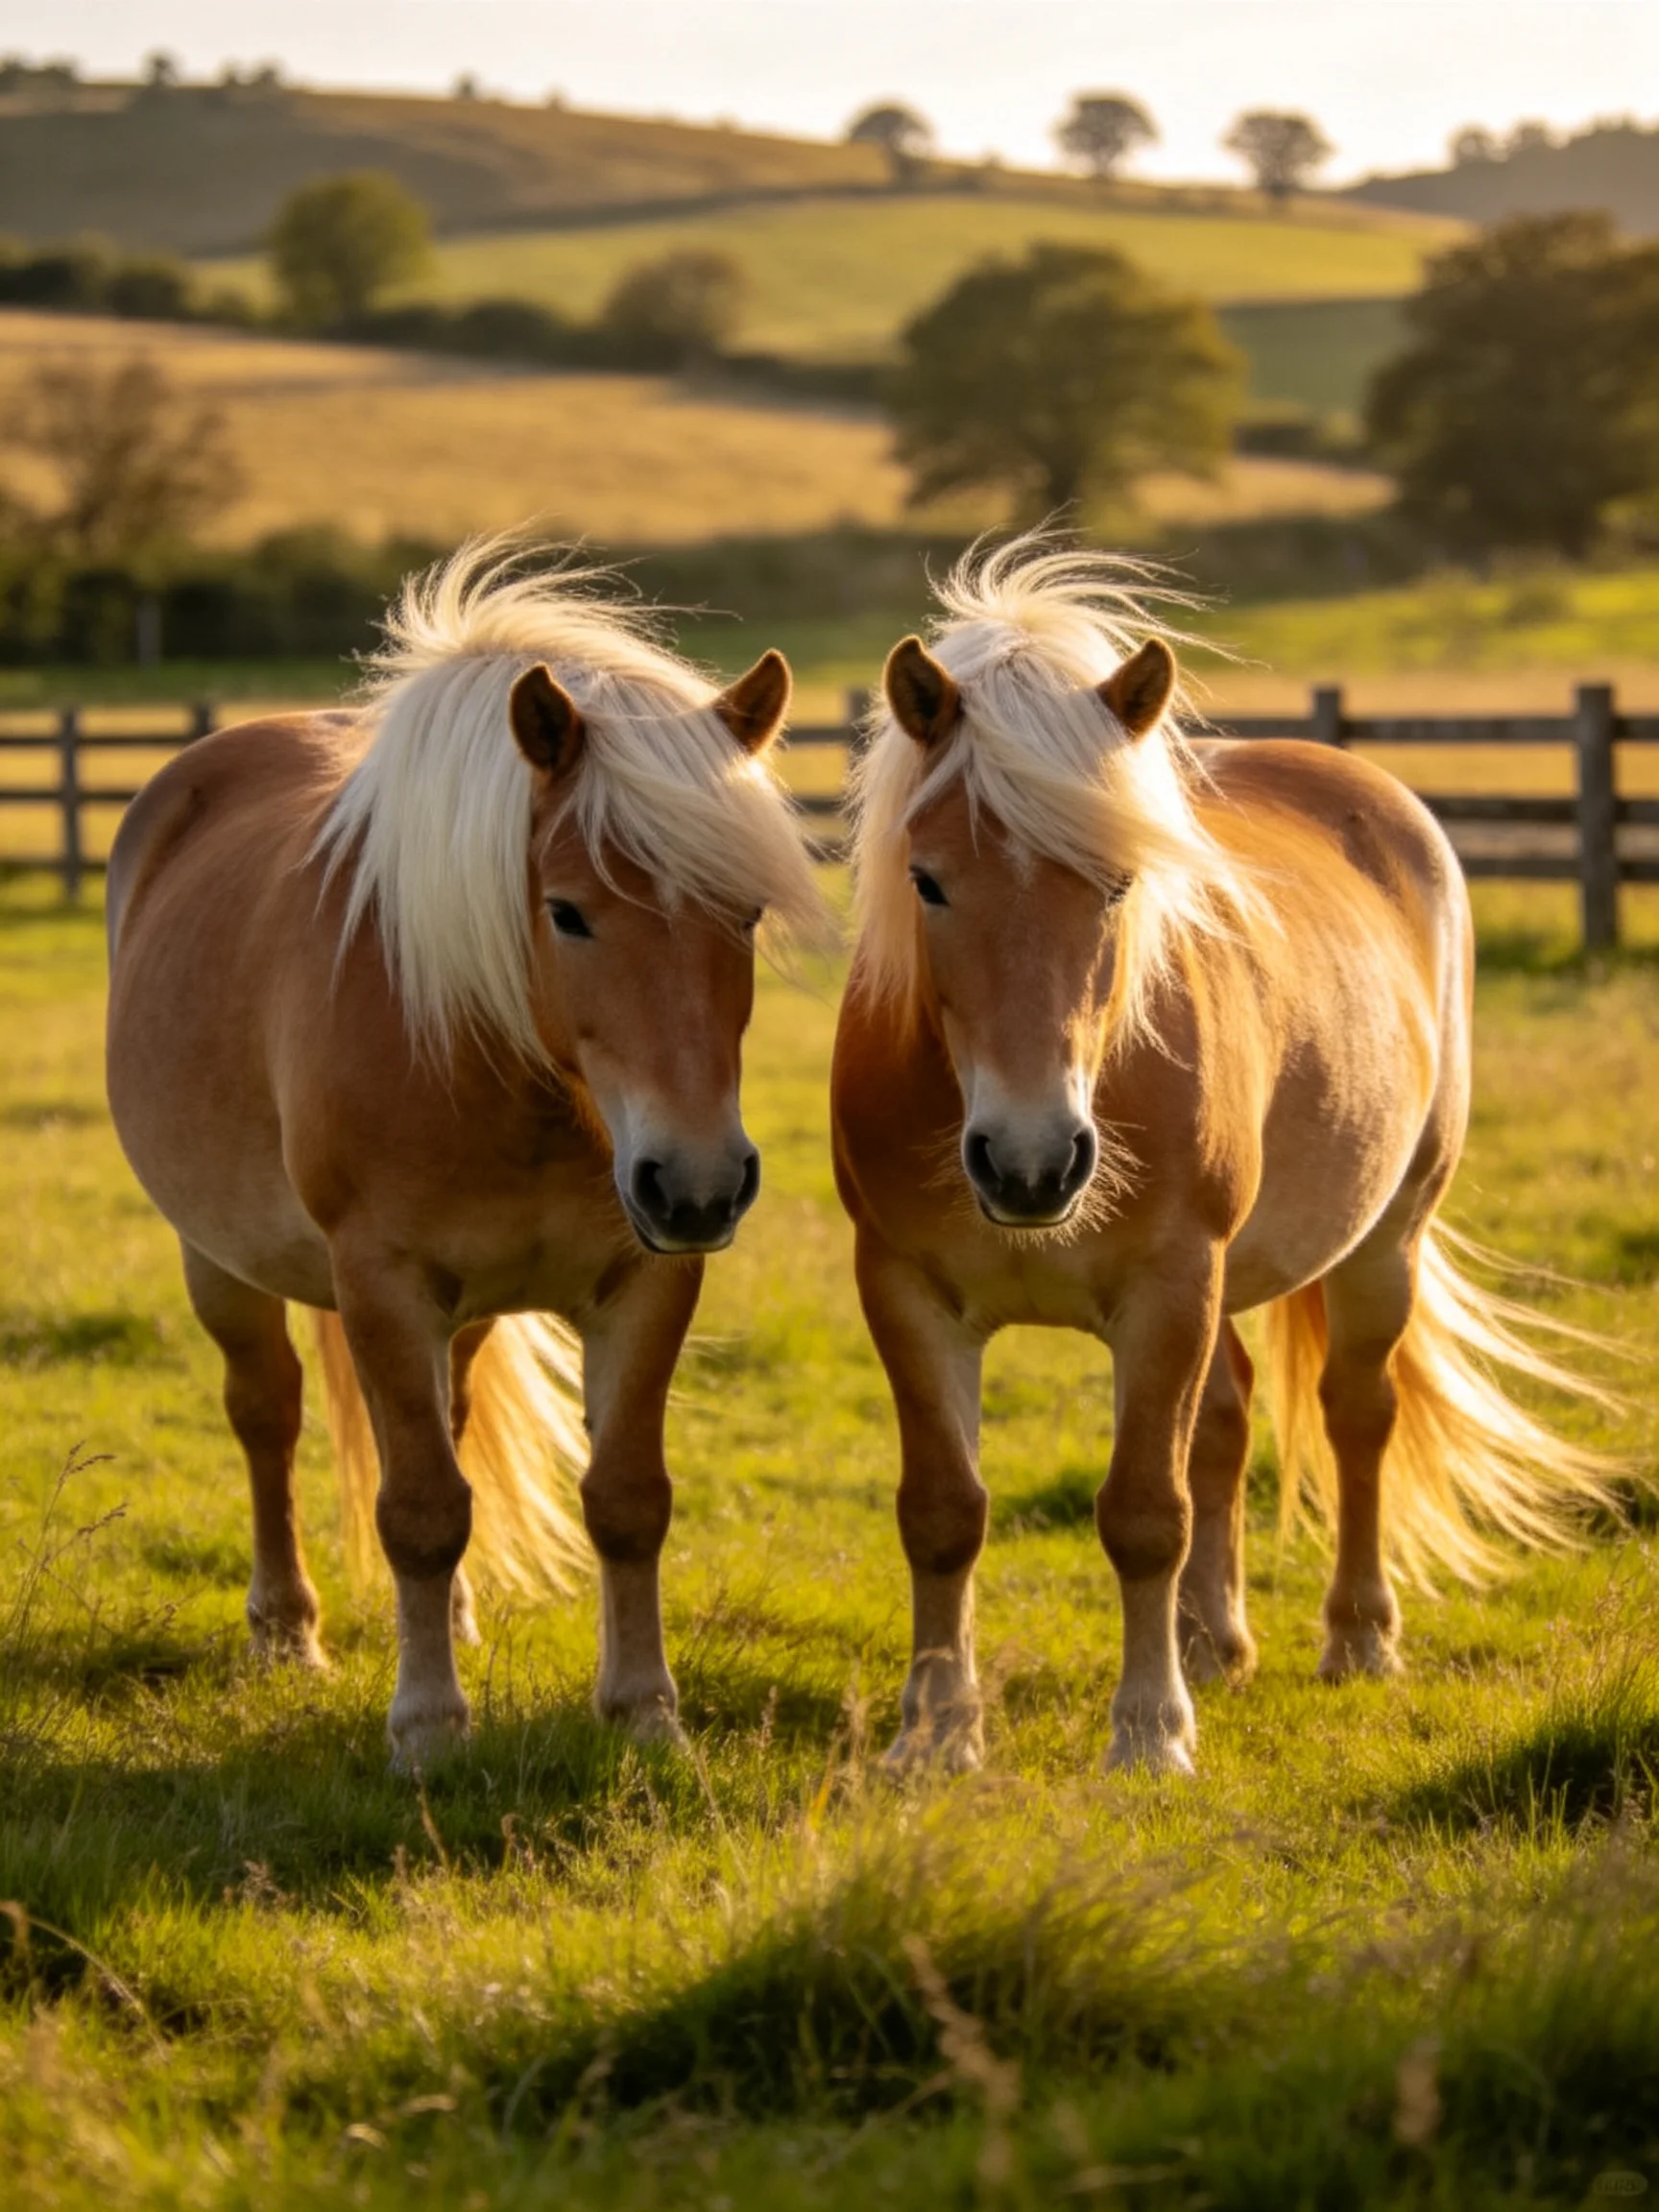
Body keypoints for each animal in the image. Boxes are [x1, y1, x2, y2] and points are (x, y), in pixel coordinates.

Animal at [106, 539, 827, 1766]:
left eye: (742, 913)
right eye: (568, 912)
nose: (696, 1183)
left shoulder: (646, 1277)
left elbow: (624, 1498)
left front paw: (645, 1712)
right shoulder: (383, 1284)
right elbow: (420, 1509)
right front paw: (429, 1727)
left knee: (442, 1426)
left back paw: (455, 1618)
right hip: (220, 1261)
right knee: (267, 1414)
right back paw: (286, 1631)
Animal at [831, 536, 1619, 1778]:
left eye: (1117, 881)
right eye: (928, 880)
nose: (1030, 1163)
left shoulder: (1168, 1291)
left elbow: (1144, 1512)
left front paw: (1149, 1735)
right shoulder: (906, 1291)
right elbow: (944, 1510)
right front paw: (936, 1735)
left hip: (1384, 1244)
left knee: (1356, 1415)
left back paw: (1357, 1638)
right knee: (1229, 1420)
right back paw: (1214, 1643)